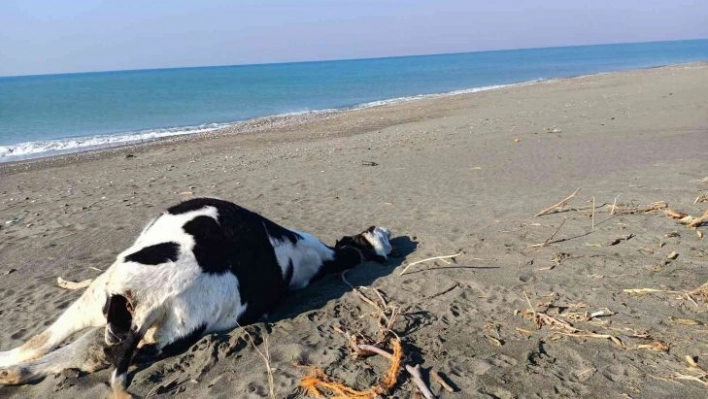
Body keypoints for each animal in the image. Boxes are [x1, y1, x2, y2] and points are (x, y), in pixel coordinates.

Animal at [0, 198, 392, 398]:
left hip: (107, 294)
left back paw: (10, 366)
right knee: (72, 351)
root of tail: (158, 299)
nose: (385, 229)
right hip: (139, 334)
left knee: (39, 344)